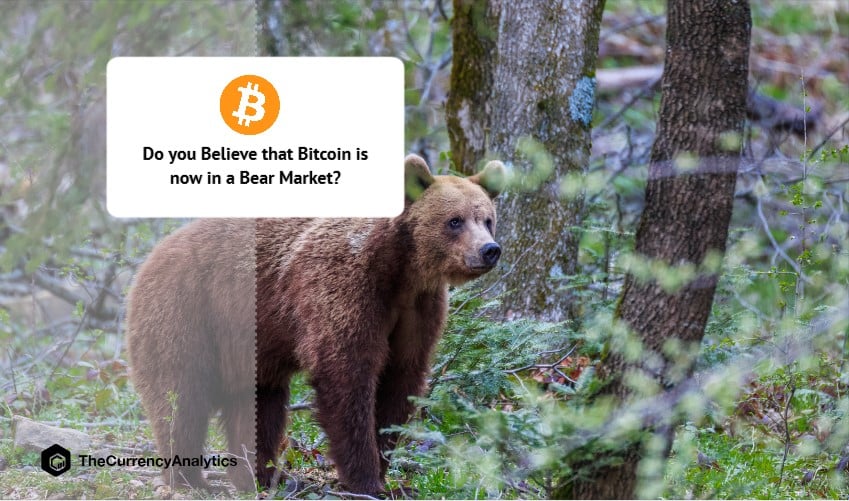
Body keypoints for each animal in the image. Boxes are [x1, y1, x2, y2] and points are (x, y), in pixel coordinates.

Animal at [125, 154, 504, 495]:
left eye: (487, 219)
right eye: (454, 221)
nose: (489, 250)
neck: (400, 270)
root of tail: (152, 255)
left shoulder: (417, 310)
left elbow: (400, 379)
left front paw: (385, 466)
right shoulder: (343, 289)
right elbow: (346, 376)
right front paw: (365, 479)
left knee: (259, 404)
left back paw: (260, 476)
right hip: (187, 311)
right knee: (181, 396)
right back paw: (190, 480)